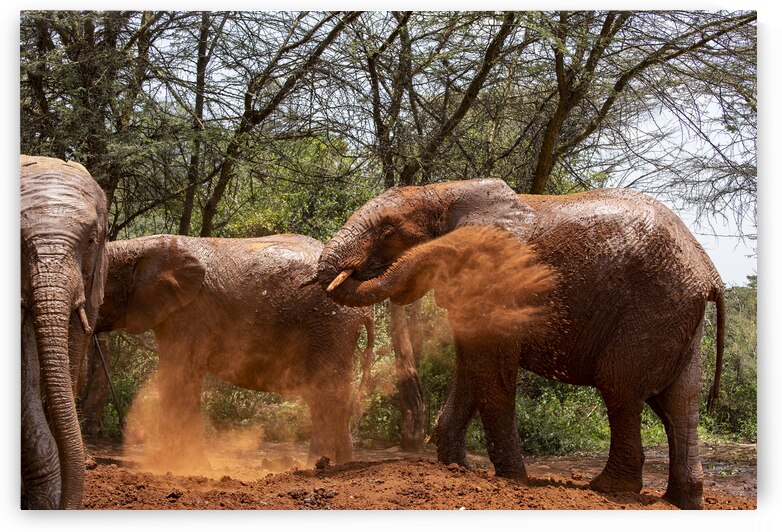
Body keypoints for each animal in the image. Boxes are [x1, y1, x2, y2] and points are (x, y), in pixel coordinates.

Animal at [95, 233, 374, 470]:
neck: (143, 246)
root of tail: (365, 311)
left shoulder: (188, 313)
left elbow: (181, 375)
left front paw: (184, 468)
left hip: (328, 325)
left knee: (325, 394)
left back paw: (316, 465)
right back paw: (341, 465)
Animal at [316, 178, 725, 510]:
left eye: (387, 231)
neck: (444, 191)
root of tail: (710, 272)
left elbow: (490, 370)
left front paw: (514, 480)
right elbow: (471, 366)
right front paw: (456, 468)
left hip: (652, 310)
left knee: (620, 387)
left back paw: (607, 489)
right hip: (678, 318)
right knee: (680, 403)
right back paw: (682, 501)